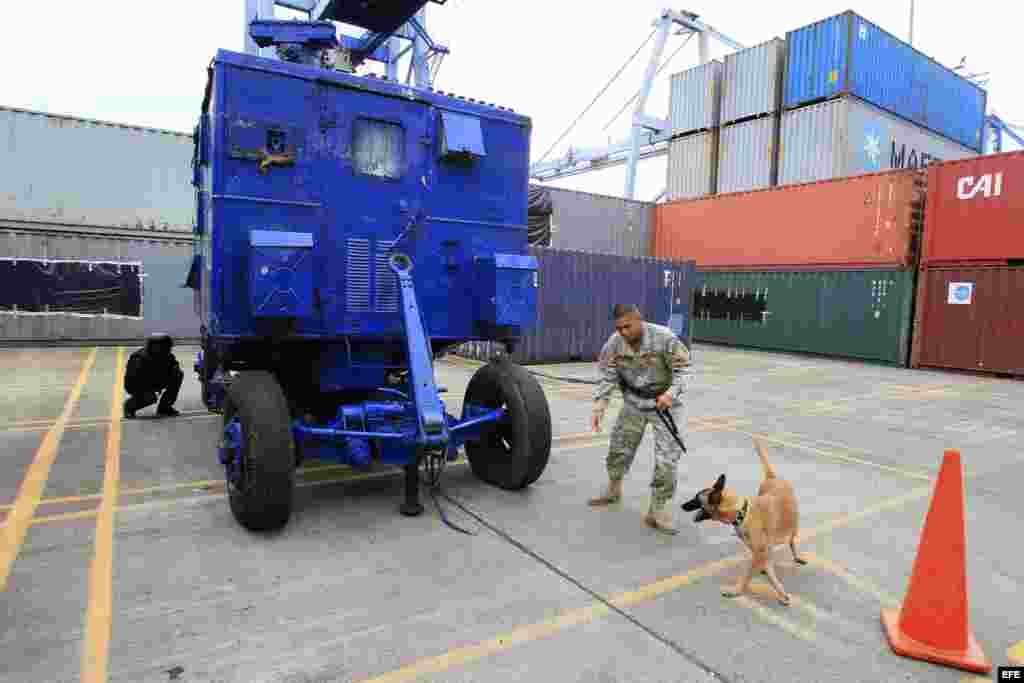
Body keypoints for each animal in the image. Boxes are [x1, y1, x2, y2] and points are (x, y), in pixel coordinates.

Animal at [679, 438, 806, 602]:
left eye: (696, 498)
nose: (682, 506)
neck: (741, 512)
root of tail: (773, 478)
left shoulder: (759, 551)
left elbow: (747, 575)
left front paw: (736, 590)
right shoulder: (759, 551)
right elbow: (767, 568)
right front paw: (779, 589)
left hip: (793, 525)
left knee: (791, 540)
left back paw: (796, 555)